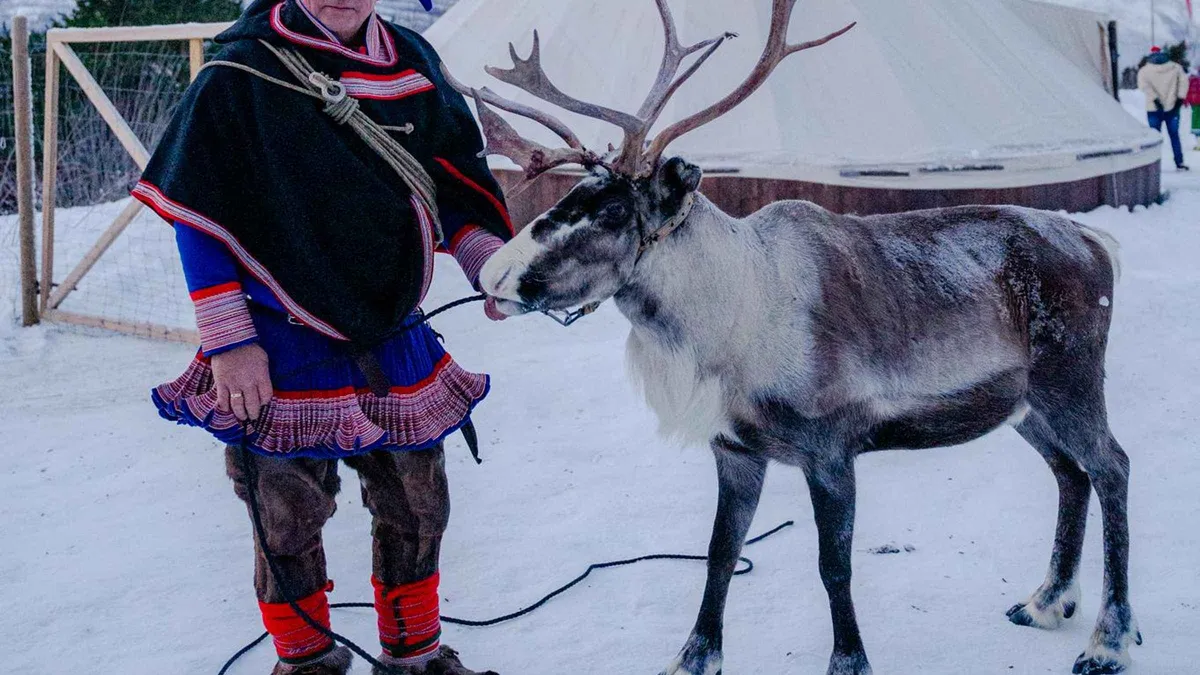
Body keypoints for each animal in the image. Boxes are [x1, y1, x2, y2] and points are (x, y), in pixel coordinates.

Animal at [444, 1, 1140, 673]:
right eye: (571, 194)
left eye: (614, 210)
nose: (494, 273)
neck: (729, 323)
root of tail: (1099, 243)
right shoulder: (735, 450)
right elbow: (720, 553)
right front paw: (694, 657)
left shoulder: (830, 449)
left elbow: (835, 567)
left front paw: (849, 660)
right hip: (1023, 404)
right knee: (1069, 473)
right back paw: (1047, 601)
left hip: (1071, 379)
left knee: (1112, 466)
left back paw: (1107, 640)